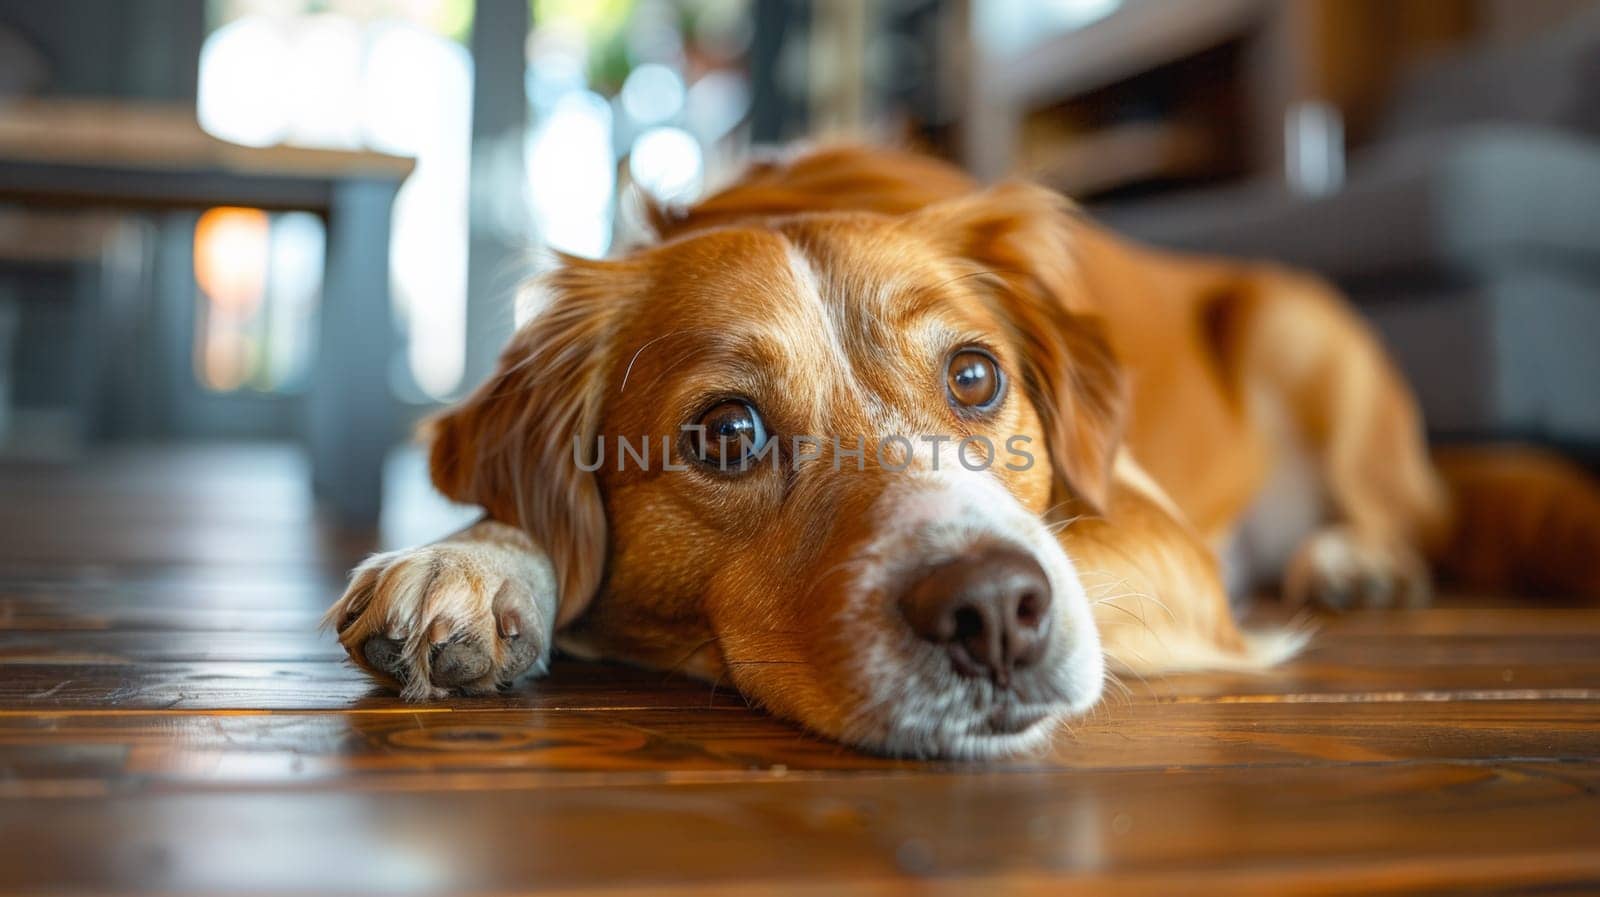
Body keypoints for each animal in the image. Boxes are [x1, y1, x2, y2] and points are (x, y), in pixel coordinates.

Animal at [321, 141, 1600, 754]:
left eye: (975, 376)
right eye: (727, 433)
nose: (994, 613)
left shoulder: (1161, 535)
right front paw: (477, 563)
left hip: (1298, 326)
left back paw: (1354, 559)